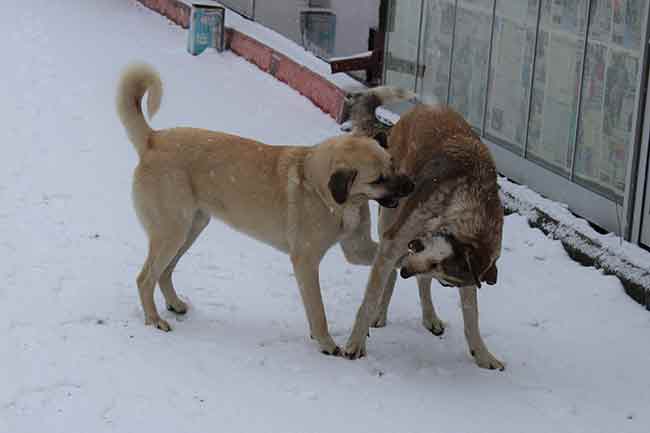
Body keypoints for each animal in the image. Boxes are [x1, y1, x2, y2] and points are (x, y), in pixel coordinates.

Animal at [116, 64, 410, 354]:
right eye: (378, 179)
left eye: (392, 163)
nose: (412, 185)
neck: (329, 195)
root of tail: (153, 139)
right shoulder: (306, 261)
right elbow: (318, 311)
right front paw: (326, 343)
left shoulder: (357, 248)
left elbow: (395, 257)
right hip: (172, 232)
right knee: (145, 278)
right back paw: (154, 319)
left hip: (190, 229)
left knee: (164, 272)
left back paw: (174, 304)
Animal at [344, 88, 502, 368]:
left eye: (447, 281)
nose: (407, 270)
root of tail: (422, 109)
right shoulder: (395, 242)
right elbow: (369, 299)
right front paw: (356, 343)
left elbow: (471, 316)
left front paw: (483, 355)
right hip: (389, 212)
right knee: (388, 274)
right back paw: (380, 313)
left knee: (419, 282)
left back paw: (429, 317)